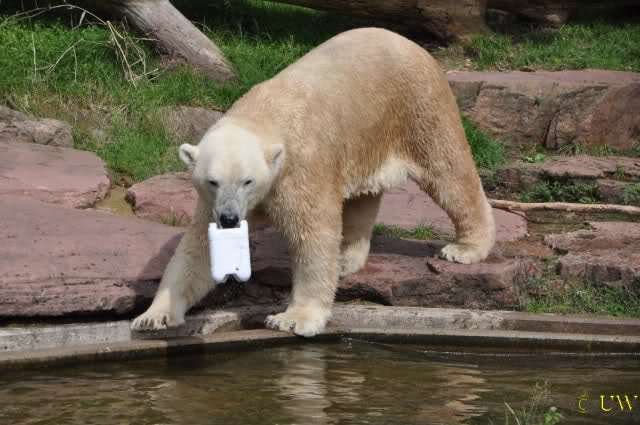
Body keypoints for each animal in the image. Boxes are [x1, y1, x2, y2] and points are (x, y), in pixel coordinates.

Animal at [131, 27, 496, 337]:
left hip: (419, 106)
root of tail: (411, 44)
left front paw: (294, 318)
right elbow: (197, 251)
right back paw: (346, 259)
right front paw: (153, 315)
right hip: (366, 138)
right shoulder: (211, 205)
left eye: (248, 181)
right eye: (212, 181)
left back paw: (466, 248)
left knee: (447, 171)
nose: (231, 218)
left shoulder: (302, 167)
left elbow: (313, 235)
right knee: (362, 197)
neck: (262, 115)